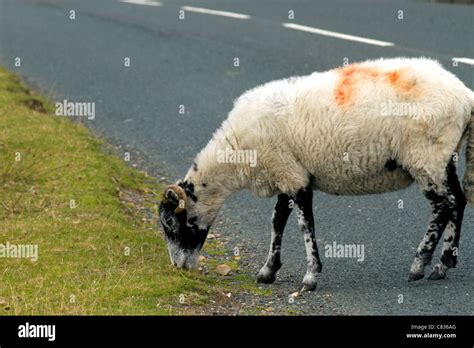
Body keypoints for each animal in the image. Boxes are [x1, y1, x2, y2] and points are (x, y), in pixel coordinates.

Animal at [160, 57, 474, 290]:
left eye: (171, 223)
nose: (178, 267)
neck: (235, 152)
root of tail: (465, 96)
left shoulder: (293, 178)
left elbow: (304, 226)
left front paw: (310, 277)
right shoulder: (286, 173)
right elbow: (277, 222)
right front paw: (268, 271)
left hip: (426, 156)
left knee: (443, 205)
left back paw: (419, 265)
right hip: (444, 157)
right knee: (457, 201)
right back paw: (444, 264)